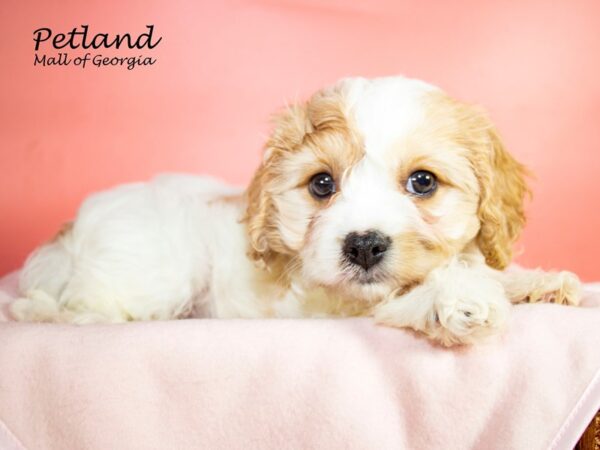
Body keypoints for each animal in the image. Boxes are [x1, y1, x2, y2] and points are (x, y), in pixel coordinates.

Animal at [10, 76, 580, 344]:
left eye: (423, 182)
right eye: (322, 184)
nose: (364, 246)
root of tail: (68, 232)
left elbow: (479, 265)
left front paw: (538, 282)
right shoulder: (331, 304)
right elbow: (411, 295)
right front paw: (460, 300)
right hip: (157, 273)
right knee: (80, 308)